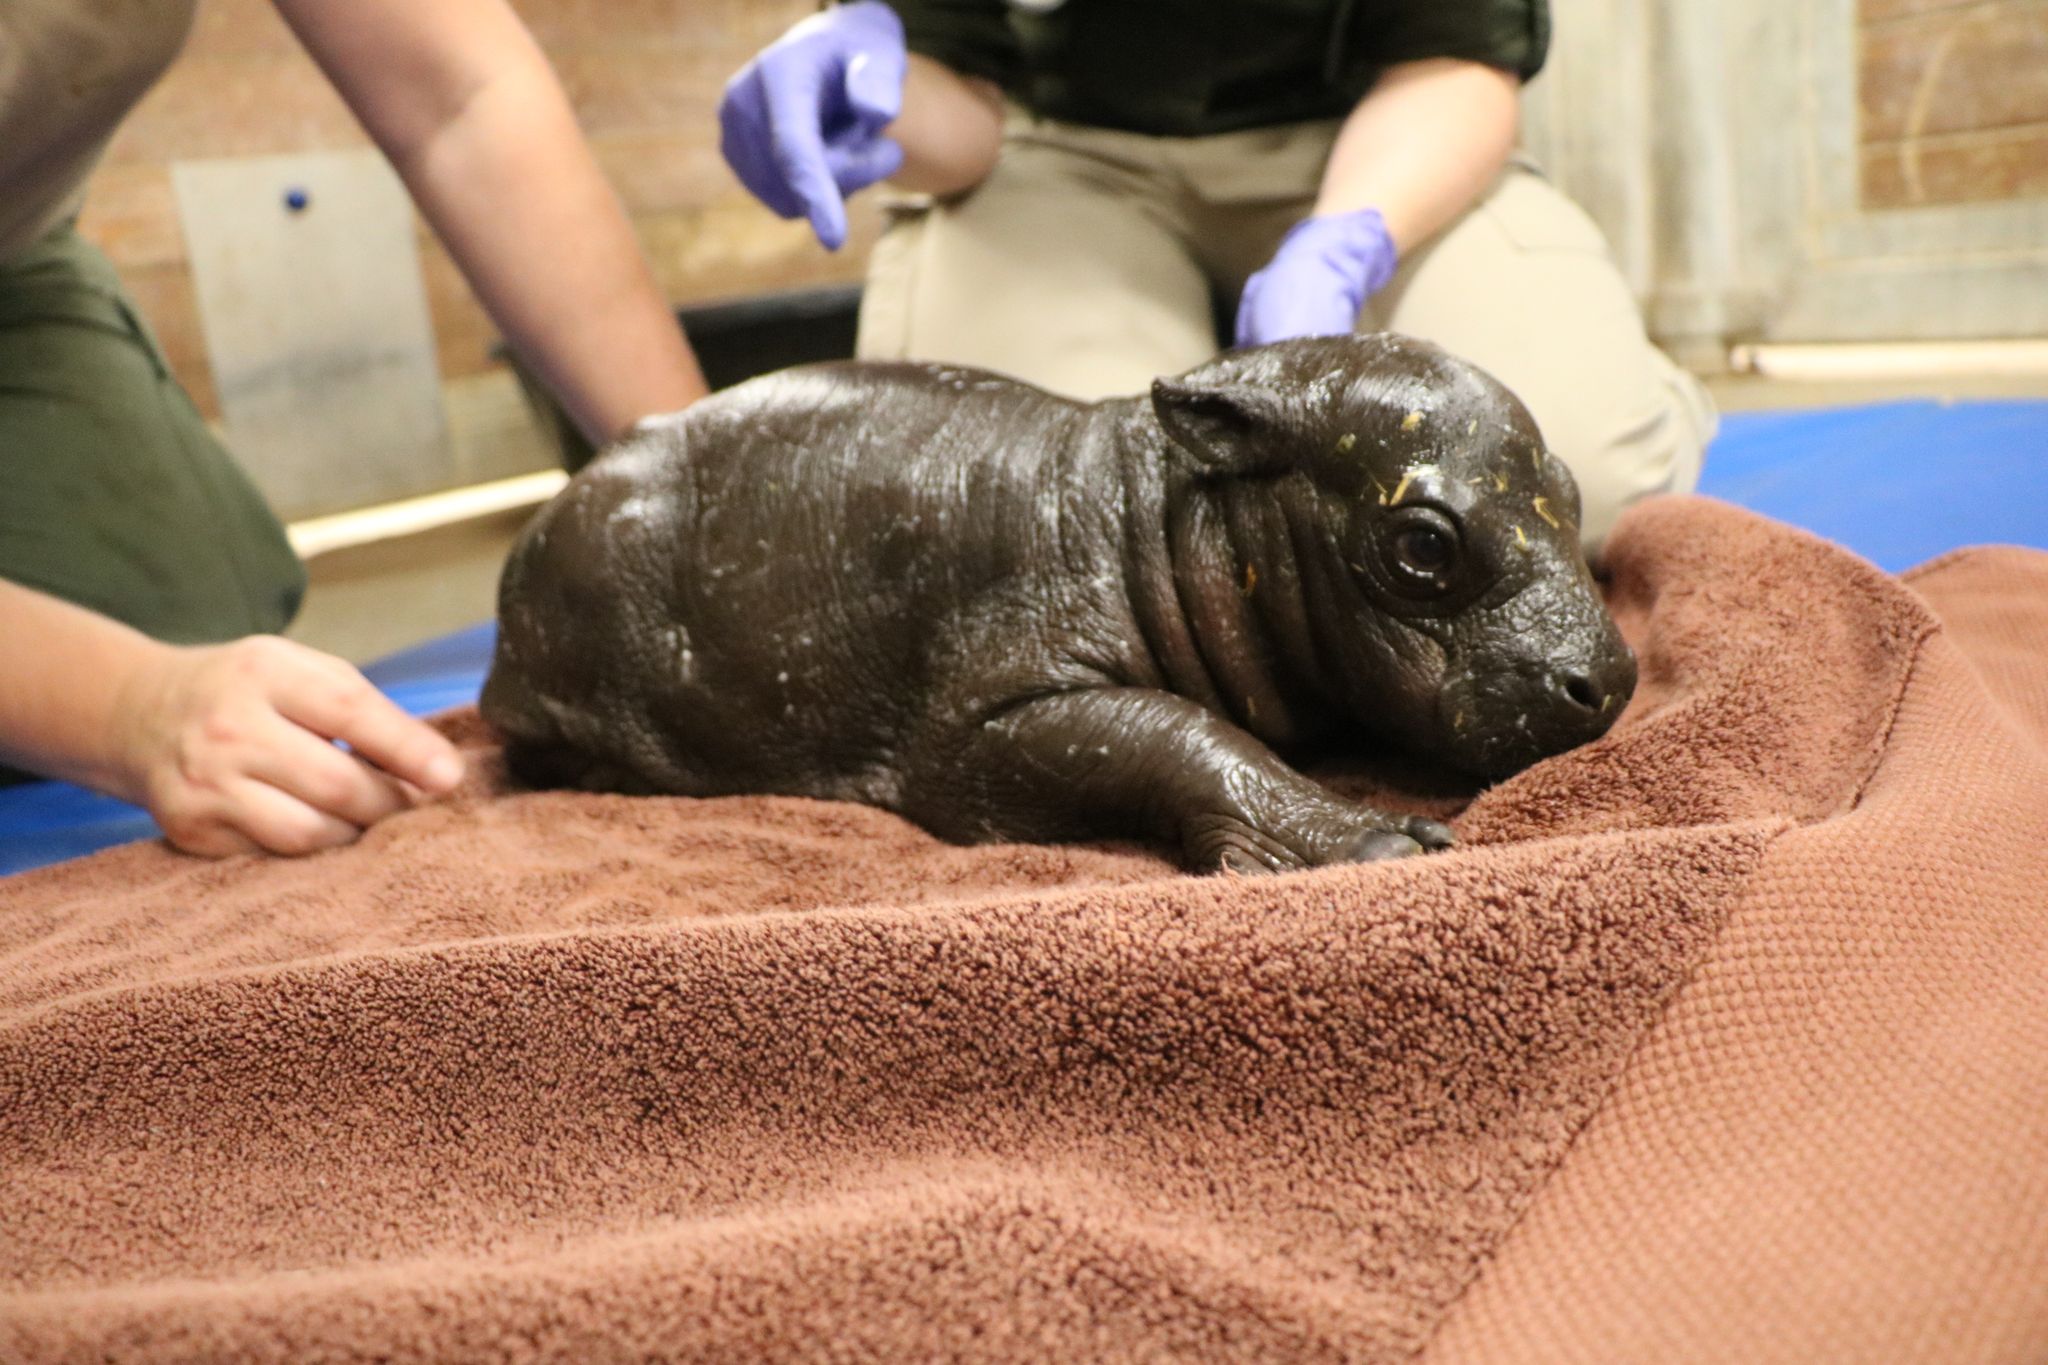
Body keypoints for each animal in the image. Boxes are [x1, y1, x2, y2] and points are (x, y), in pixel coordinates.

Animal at [481, 334, 1636, 873]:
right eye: (1422, 545)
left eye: (1575, 494)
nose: (1614, 675)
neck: (1152, 510)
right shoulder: (978, 723)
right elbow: (1168, 729)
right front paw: (1372, 840)